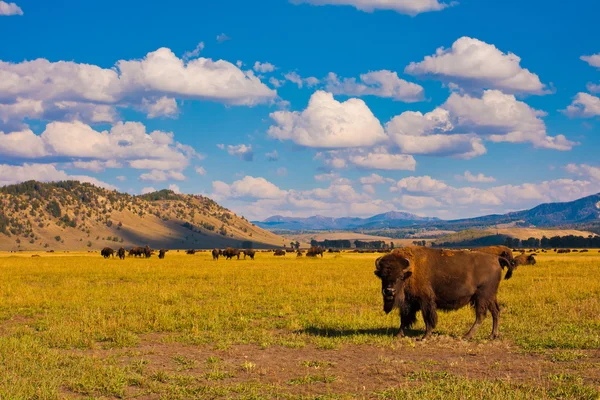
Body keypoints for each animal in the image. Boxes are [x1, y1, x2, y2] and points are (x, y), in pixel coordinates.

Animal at [376, 247, 510, 340]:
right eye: (382, 276)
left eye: (400, 276)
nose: (389, 291)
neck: (410, 271)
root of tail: (496, 259)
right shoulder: (409, 303)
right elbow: (404, 318)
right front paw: (398, 335)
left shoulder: (425, 301)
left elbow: (428, 318)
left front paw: (425, 336)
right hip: (490, 297)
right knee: (496, 312)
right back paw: (492, 335)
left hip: (482, 297)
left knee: (481, 315)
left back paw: (467, 336)